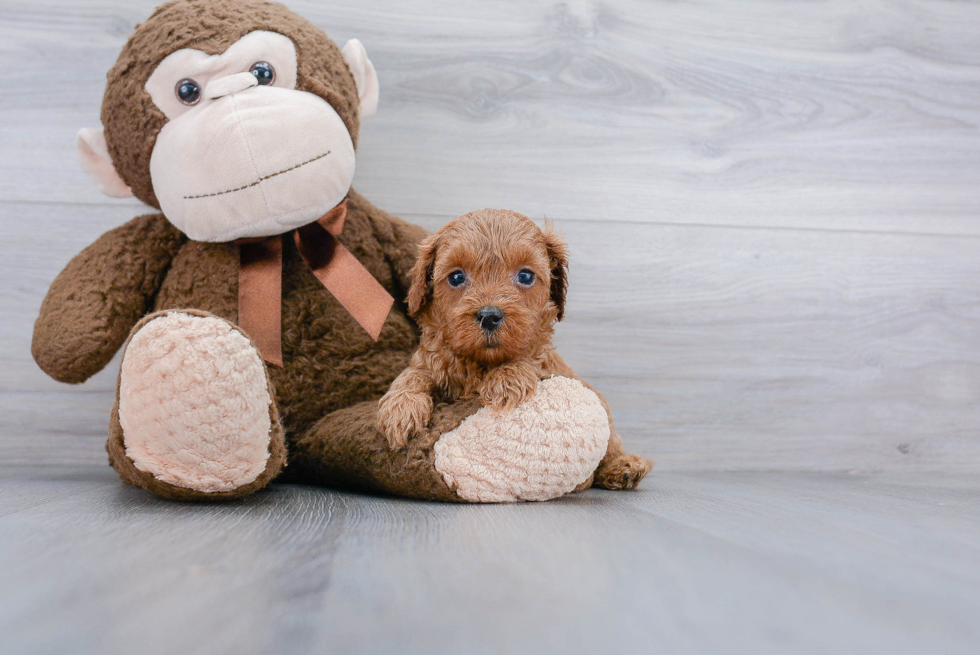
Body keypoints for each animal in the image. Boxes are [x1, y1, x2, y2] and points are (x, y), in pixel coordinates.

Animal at [378, 208, 656, 490]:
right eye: (456, 277)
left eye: (525, 276)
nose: (489, 316)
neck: (482, 363)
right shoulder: (431, 361)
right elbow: (413, 374)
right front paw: (400, 409)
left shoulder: (544, 360)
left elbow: (529, 357)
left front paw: (506, 380)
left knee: (612, 442)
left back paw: (624, 467)